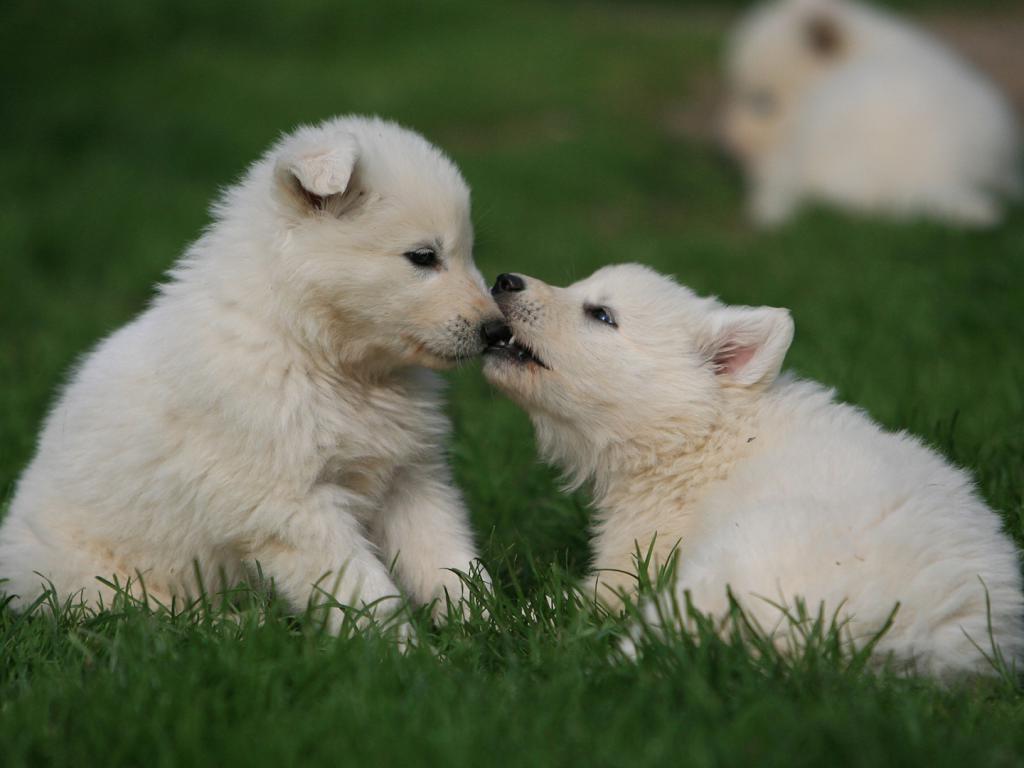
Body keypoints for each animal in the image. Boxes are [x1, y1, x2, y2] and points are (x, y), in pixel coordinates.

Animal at [0, 114, 507, 630]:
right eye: (423, 257)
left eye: (468, 252)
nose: (498, 331)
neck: (316, 353)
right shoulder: (291, 505)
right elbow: (365, 589)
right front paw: (400, 647)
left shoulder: (411, 478)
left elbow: (447, 559)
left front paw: (494, 622)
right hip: (96, 584)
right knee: (158, 616)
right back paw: (242, 625)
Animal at [485, 266, 1024, 679]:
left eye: (601, 314)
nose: (504, 280)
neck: (704, 436)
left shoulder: (642, 554)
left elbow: (587, 596)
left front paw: (508, 614)